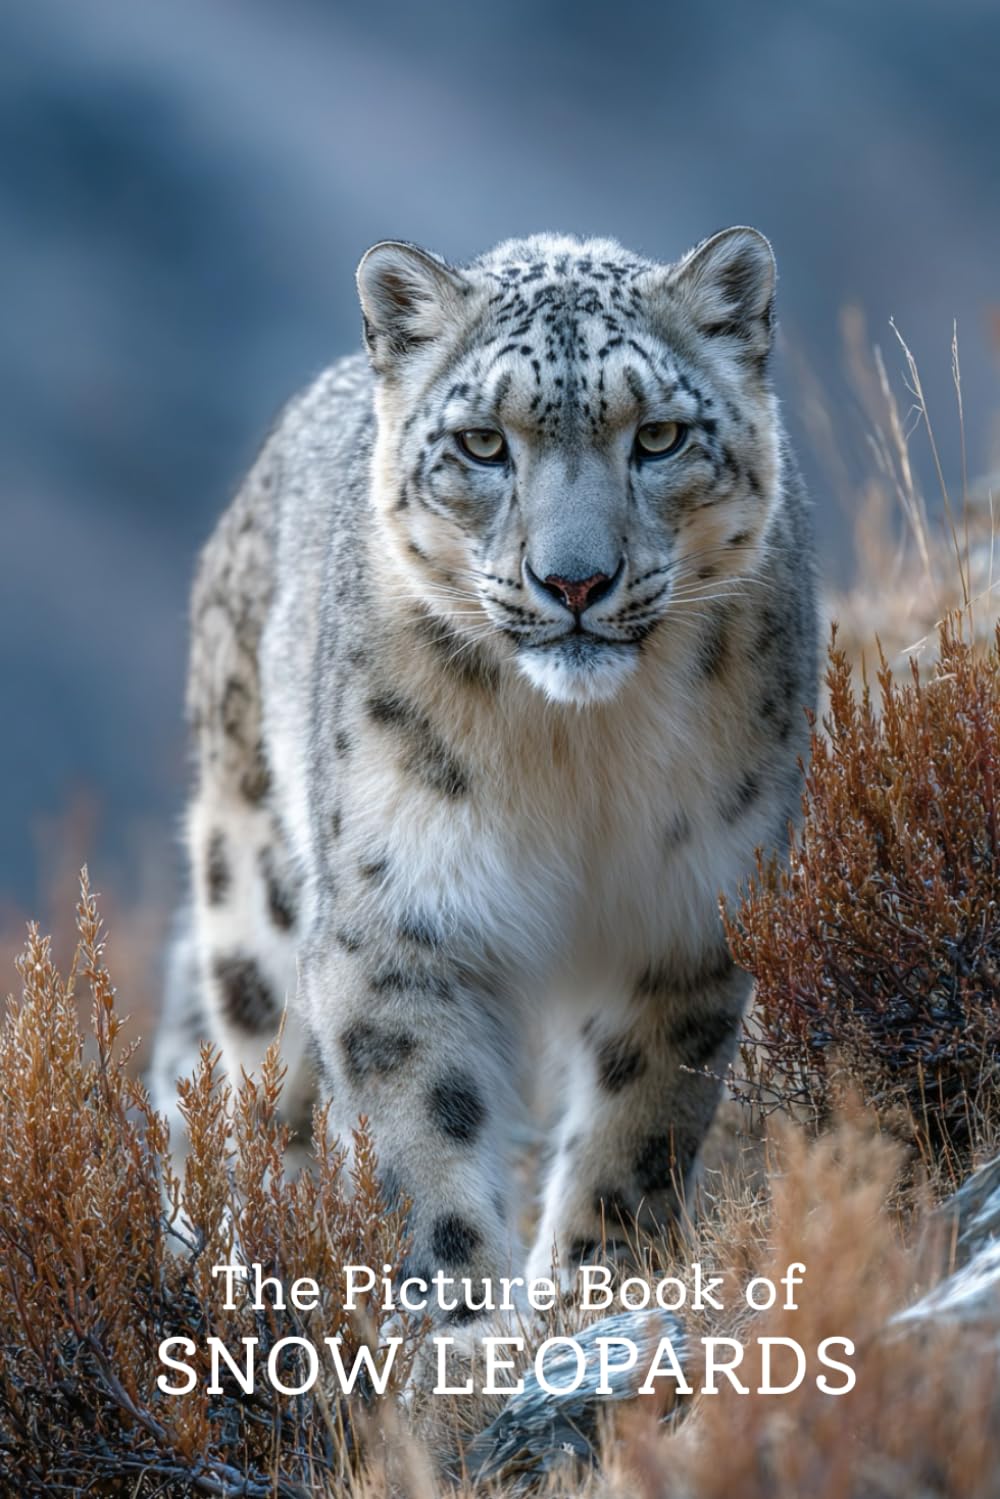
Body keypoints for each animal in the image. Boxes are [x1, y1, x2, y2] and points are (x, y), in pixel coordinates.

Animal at [150, 226, 817, 1319]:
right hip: (254, 896)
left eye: (659, 436)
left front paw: (594, 1287)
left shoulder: (687, 911)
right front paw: (465, 1326)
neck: (576, 761)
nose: (575, 580)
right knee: (249, 1095)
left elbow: (638, 1122)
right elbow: (425, 1124)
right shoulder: (398, 913)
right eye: (482, 445)